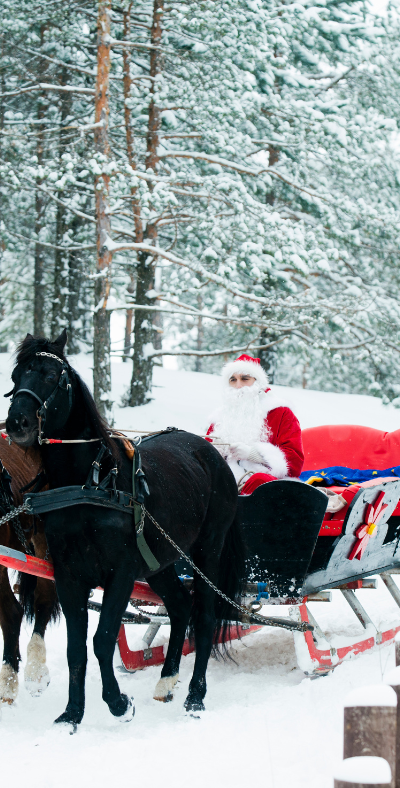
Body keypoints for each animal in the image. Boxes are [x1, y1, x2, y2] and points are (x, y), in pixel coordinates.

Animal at [5, 330, 244, 728]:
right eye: (15, 377)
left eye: (53, 376)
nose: (16, 423)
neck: (89, 484)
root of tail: (209, 451)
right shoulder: (69, 575)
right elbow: (75, 647)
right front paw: (72, 714)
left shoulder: (120, 572)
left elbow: (101, 640)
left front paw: (118, 703)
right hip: (162, 561)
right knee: (180, 606)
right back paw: (166, 681)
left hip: (208, 552)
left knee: (205, 616)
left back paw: (195, 695)